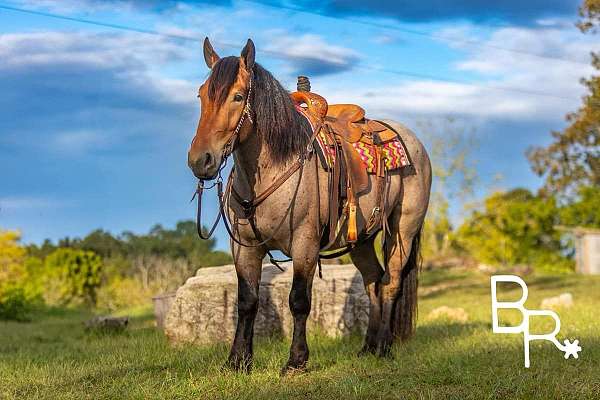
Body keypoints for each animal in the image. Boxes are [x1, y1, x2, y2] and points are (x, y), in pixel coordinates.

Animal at [188, 37, 432, 376]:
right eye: (201, 95)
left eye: (237, 96)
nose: (201, 160)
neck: (274, 168)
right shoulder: (245, 248)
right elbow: (247, 301)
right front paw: (237, 361)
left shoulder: (305, 244)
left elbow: (298, 300)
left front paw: (296, 361)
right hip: (361, 240)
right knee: (373, 281)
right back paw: (368, 347)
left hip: (402, 232)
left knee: (391, 283)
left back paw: (384, 346)